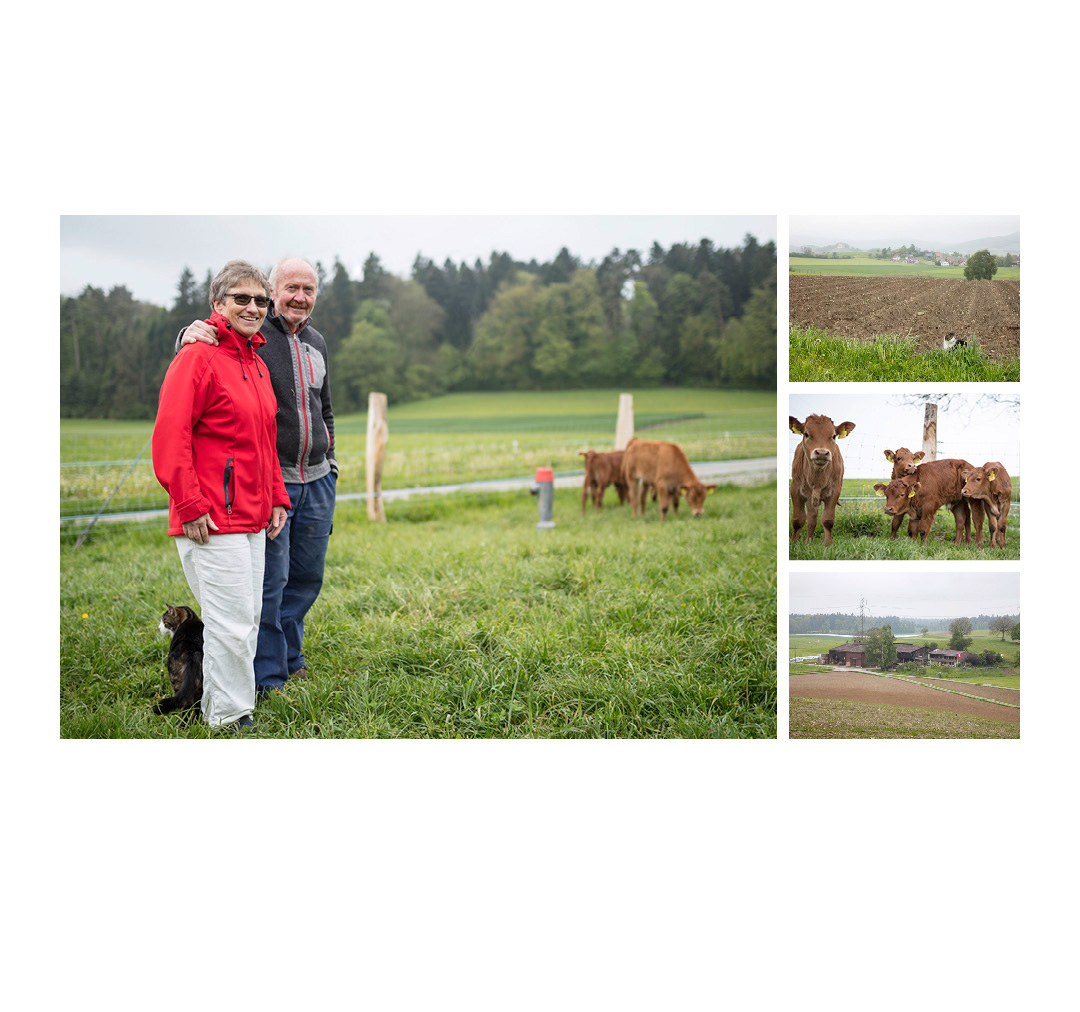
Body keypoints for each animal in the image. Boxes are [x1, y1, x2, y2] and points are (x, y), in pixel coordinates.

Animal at [790, 412, 855, 544]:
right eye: (806, 434)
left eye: (834, 436)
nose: (821, 453)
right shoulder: (795, 489)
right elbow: (798, 520)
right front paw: (794, 543)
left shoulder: (835, 491)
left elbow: (827, 520)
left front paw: (828, 544)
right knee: (811, 518)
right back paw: (808, 541)